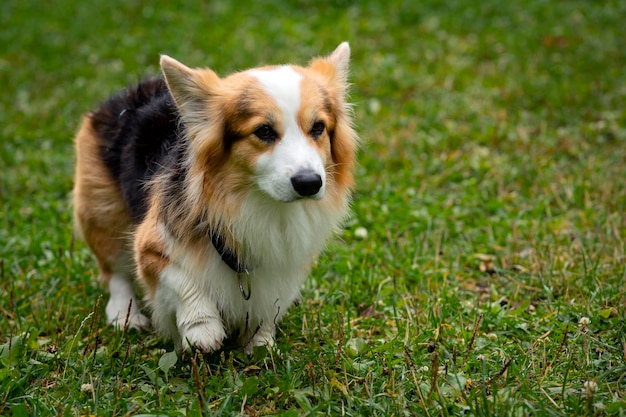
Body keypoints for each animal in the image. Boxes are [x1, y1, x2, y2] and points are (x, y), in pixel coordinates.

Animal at [73, 44, 356, 352]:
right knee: (115, 271)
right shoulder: (152, 245)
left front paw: (261, 341)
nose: (309, 183)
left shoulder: (285, 262)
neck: (260, 205)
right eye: (264, 131)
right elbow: (182, 279)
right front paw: (201, 328)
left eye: (318, 127)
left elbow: (270, 300)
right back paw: (125, 314)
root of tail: (127, 93)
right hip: (102, 212)